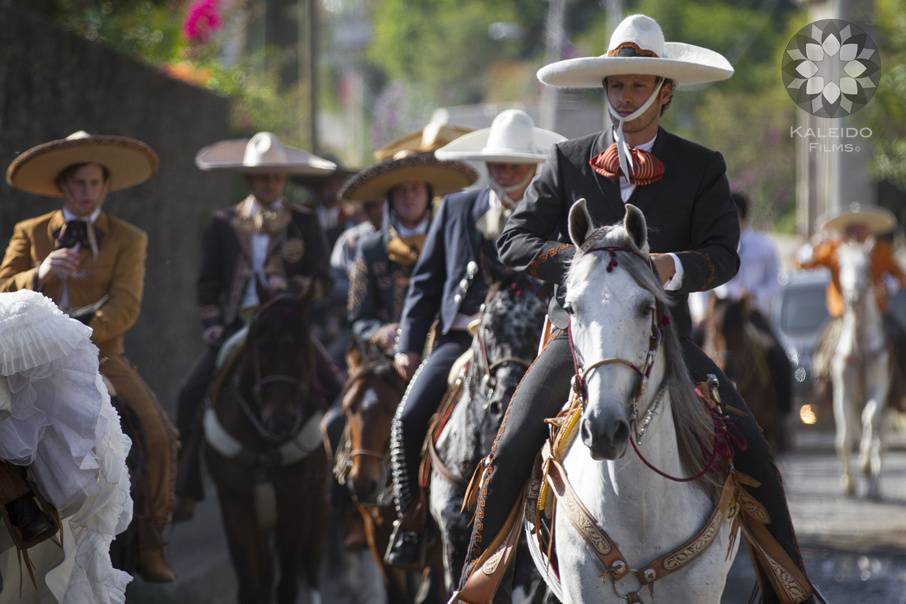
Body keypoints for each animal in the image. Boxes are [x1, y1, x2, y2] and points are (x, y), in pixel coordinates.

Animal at [205, 288, 328, 604]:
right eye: (260, 347)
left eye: (302, 346)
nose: (280, 421)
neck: (263, 447)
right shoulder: (234, 502)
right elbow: (251, 587)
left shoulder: (295, 501)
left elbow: (288, 585)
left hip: (316, 503)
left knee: (310, 565)